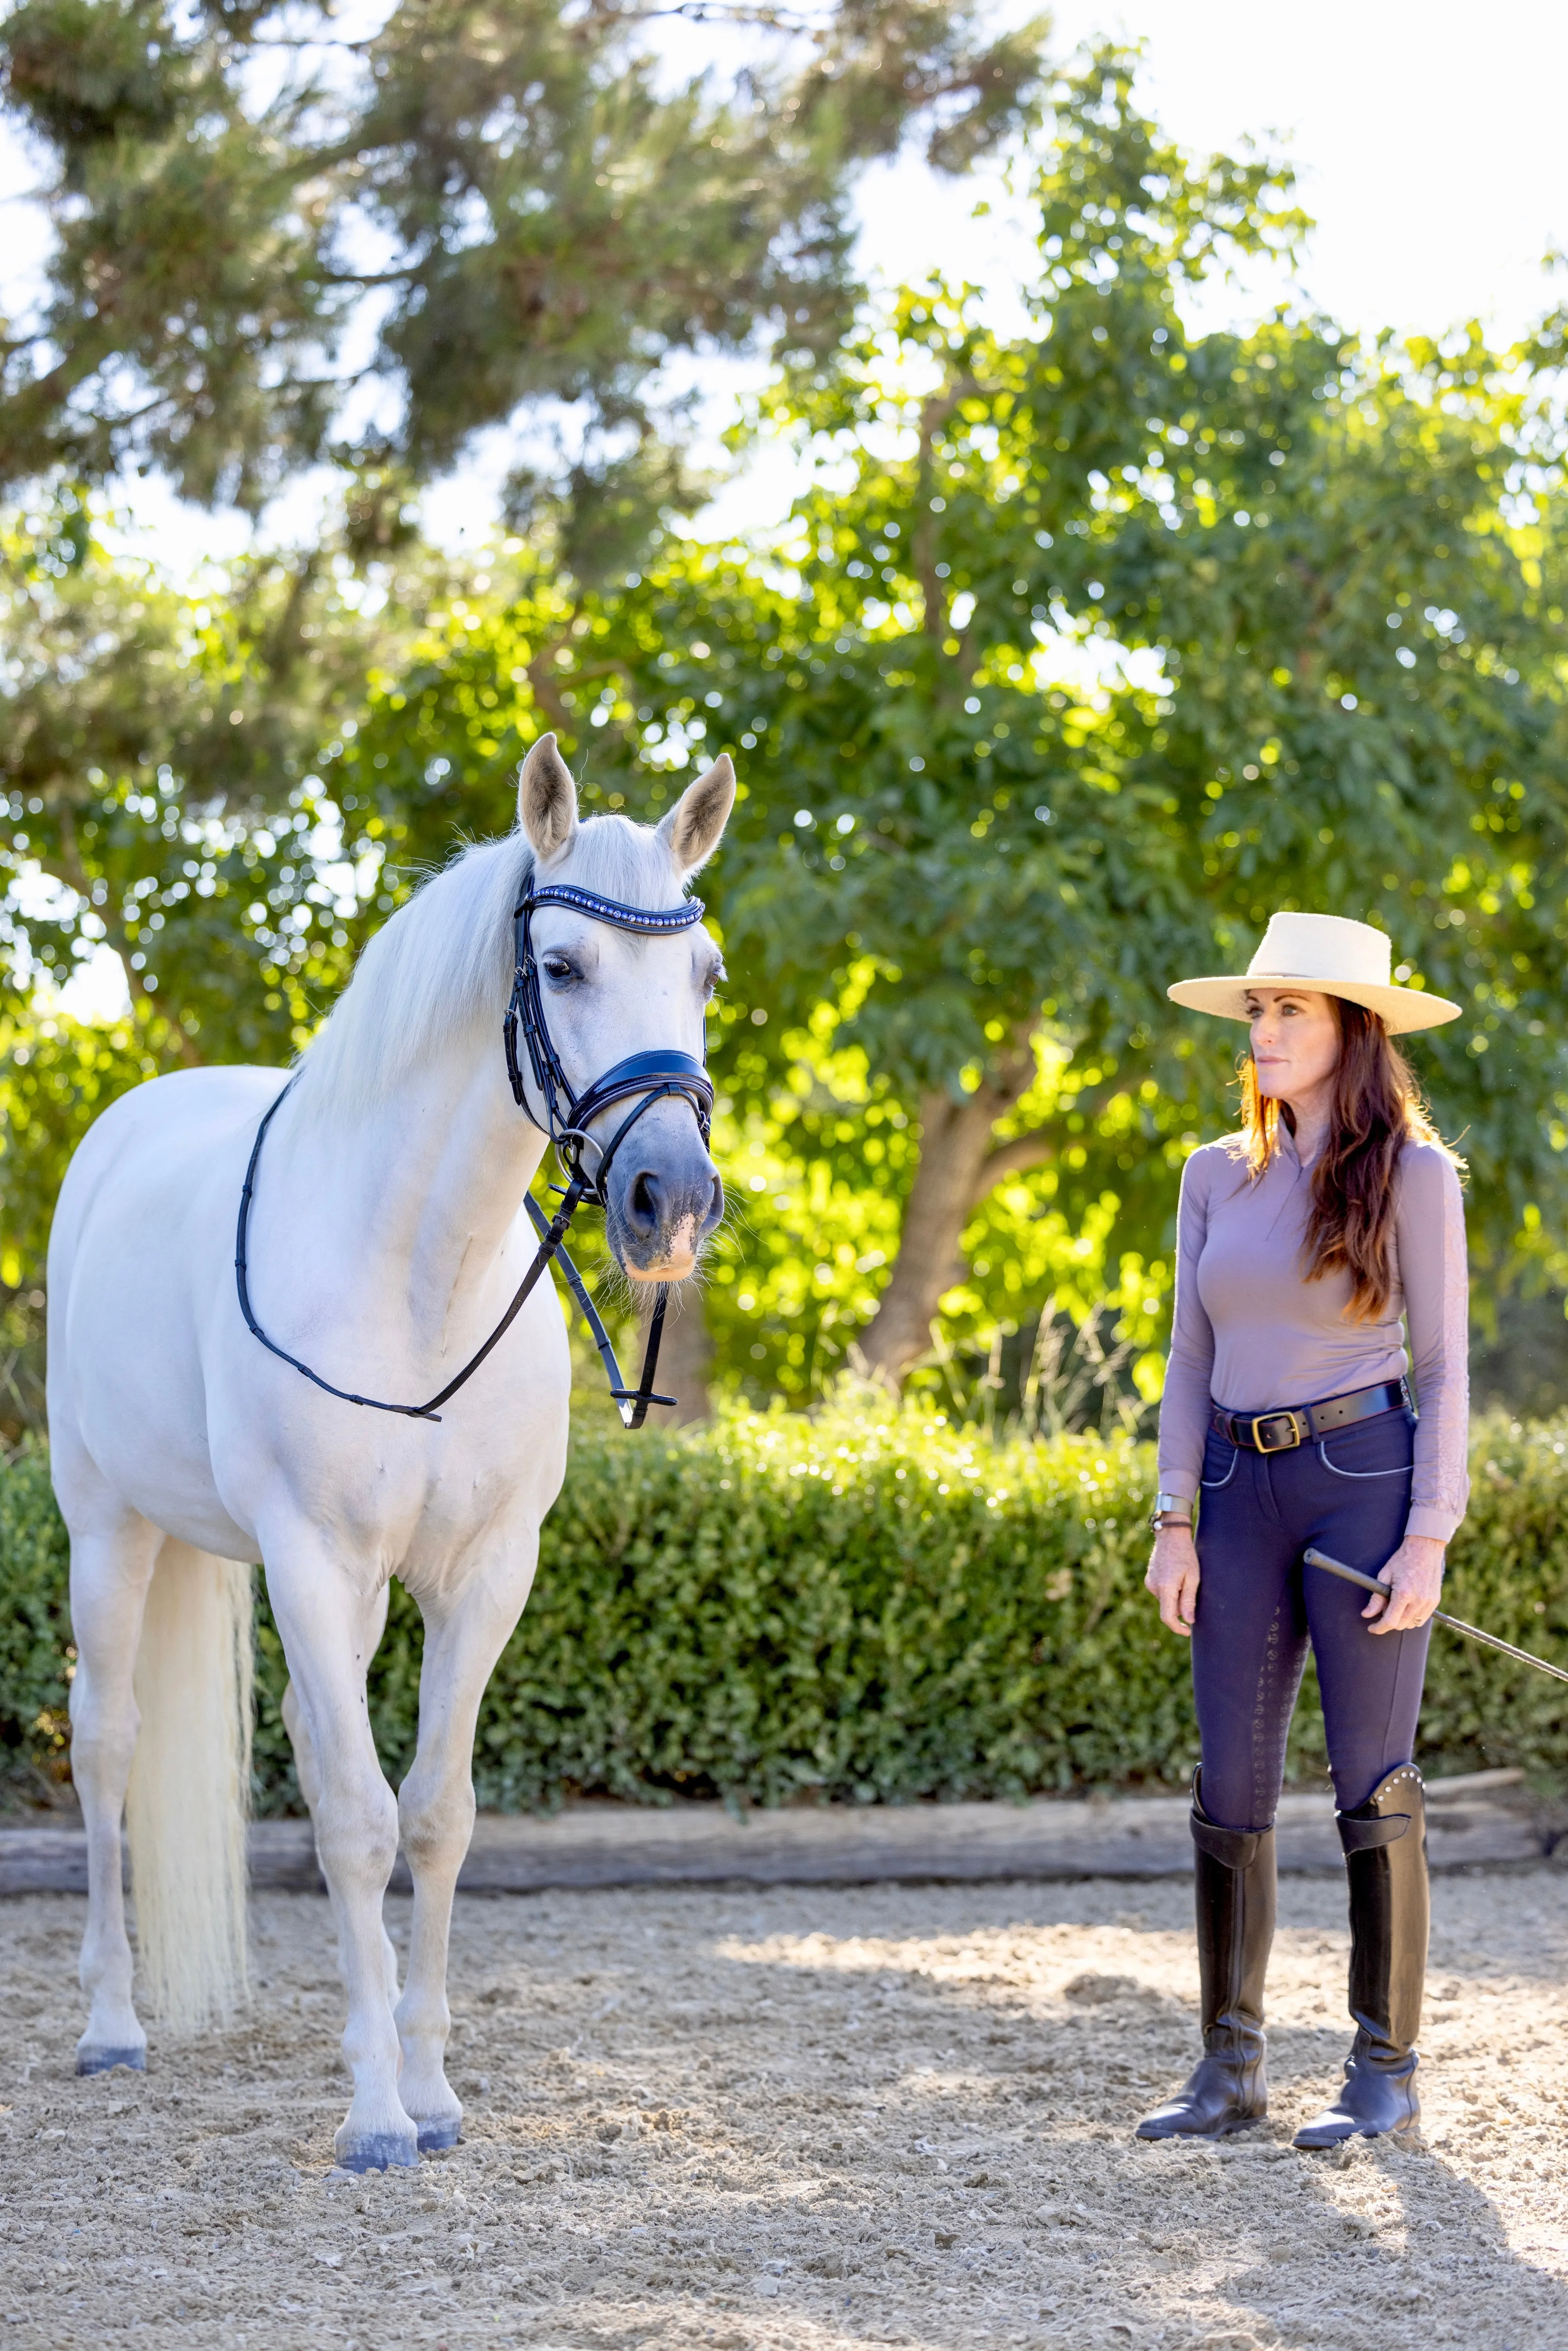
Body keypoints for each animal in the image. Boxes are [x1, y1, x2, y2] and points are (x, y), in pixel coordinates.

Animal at [47, 743, 738, 2172]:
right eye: (563, 967)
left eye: (704, 975)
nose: (674, 1199)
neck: (423, 1280)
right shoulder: (311, 1560)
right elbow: (363, 1822)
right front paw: (375, 2115)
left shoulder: (482, 1575)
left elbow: (431, 1811)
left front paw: (426, 2082)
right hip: (108, 1529)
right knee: (109, 1746)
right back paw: (113, 2022)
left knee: (317, 1758)